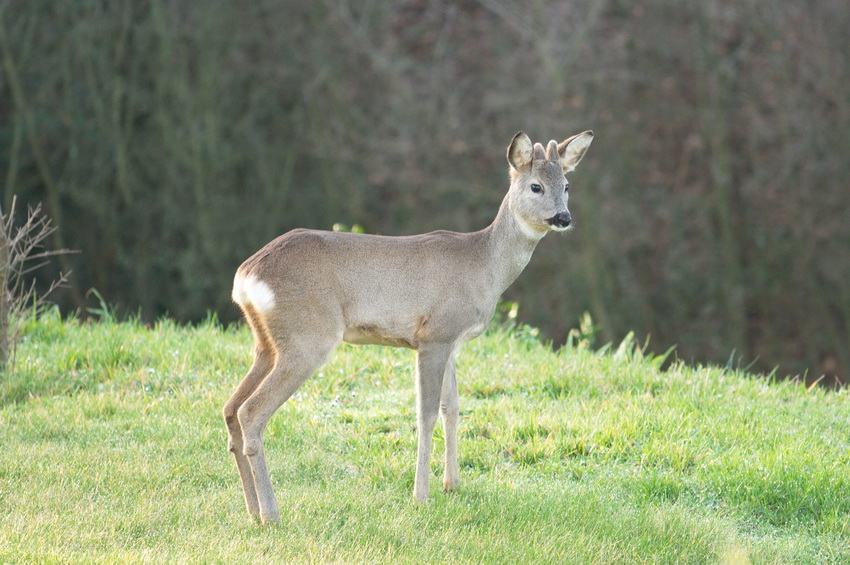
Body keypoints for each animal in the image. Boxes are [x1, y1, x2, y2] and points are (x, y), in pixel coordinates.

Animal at [227, 130, 596, 524]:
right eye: (536, 186)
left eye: (567, 185)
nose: (563, 217)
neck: (485, 266)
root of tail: (246, 276)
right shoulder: (434, 336)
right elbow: (426, 414)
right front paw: (422, 496)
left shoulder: (452, 341)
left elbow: (453, 407)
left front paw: (453, 485)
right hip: (308, 336)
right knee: (251, 412)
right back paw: (271, 514)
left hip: (267, 342)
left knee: (231, 409)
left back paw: (252, 510)